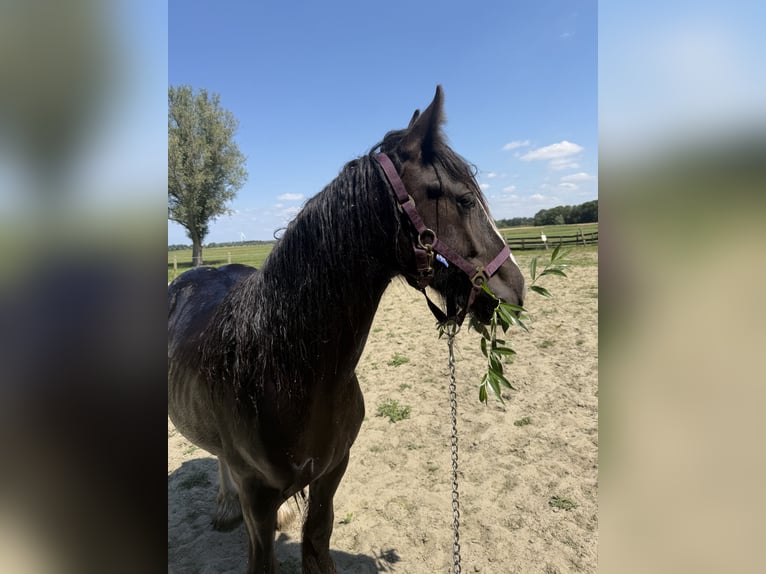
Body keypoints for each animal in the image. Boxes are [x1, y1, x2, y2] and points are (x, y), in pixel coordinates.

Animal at [168, 86, 526, 573]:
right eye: (464, 200)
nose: (516, 287)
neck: (284, 373)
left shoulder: (333, 471)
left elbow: (317, 539)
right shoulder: (256, 497)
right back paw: (225, 508)